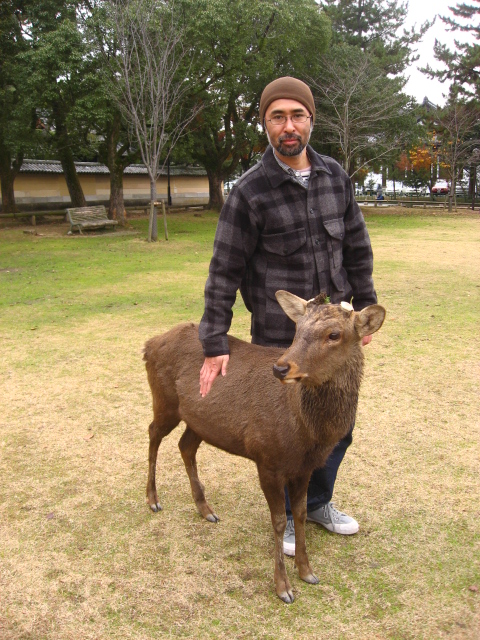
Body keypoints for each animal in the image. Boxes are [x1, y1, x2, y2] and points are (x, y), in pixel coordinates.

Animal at [142, 292, 386, 604]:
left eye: (334, 334)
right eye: (297, 329)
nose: (281, 368)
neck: (307, 433)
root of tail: (149, 344)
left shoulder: (304, 468)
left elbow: (302, 514)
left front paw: (307, 571)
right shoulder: (267, 458)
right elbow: (280, 521)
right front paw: (283, 587)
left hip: (199, 421)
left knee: (185, 446)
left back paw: (205, 509)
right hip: (165, 401)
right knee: (153, 434)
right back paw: (153, 499)